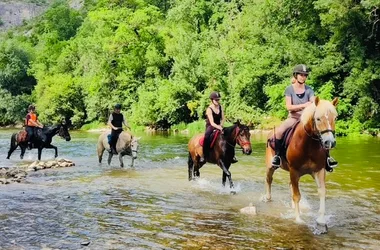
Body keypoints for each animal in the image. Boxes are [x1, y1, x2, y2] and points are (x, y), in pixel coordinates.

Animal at [264, 97, 338, 227]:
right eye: (318, 118)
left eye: (335, 118)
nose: (330, 142)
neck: (308, 145)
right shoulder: (294, 170)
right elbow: (297, 196)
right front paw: (298, 219)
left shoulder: (319, 170)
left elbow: (322, 192)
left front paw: (321, 219)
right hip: (271, 167)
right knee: (269, 179)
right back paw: (268, 198)